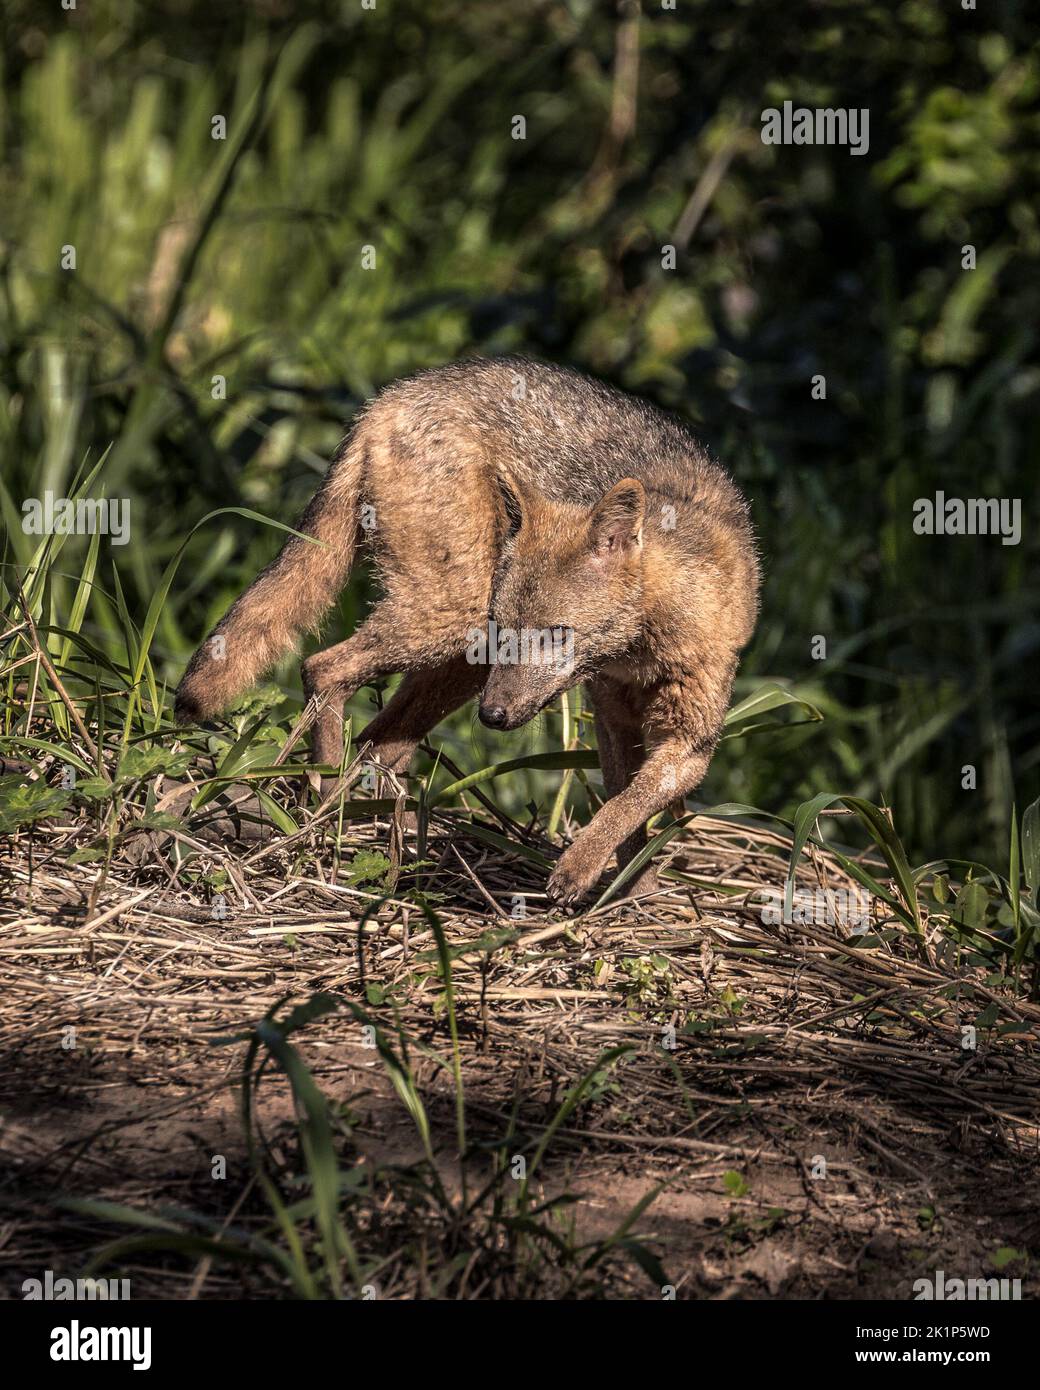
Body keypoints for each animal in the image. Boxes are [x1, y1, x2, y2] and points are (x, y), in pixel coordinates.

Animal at [174, 357, 760, 904]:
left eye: (556, 635)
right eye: (509, 630)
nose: (492, 717)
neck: (644, 648)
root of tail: (389, 397)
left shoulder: (685, 740)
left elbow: (626, 809)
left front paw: (625, 886)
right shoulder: (618, 716)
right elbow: (624, 807)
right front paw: (595, 878)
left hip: (458, 662)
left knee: (377, 745)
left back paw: (355, 817)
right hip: (454, 624)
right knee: (322, 667)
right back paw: (323, 797)